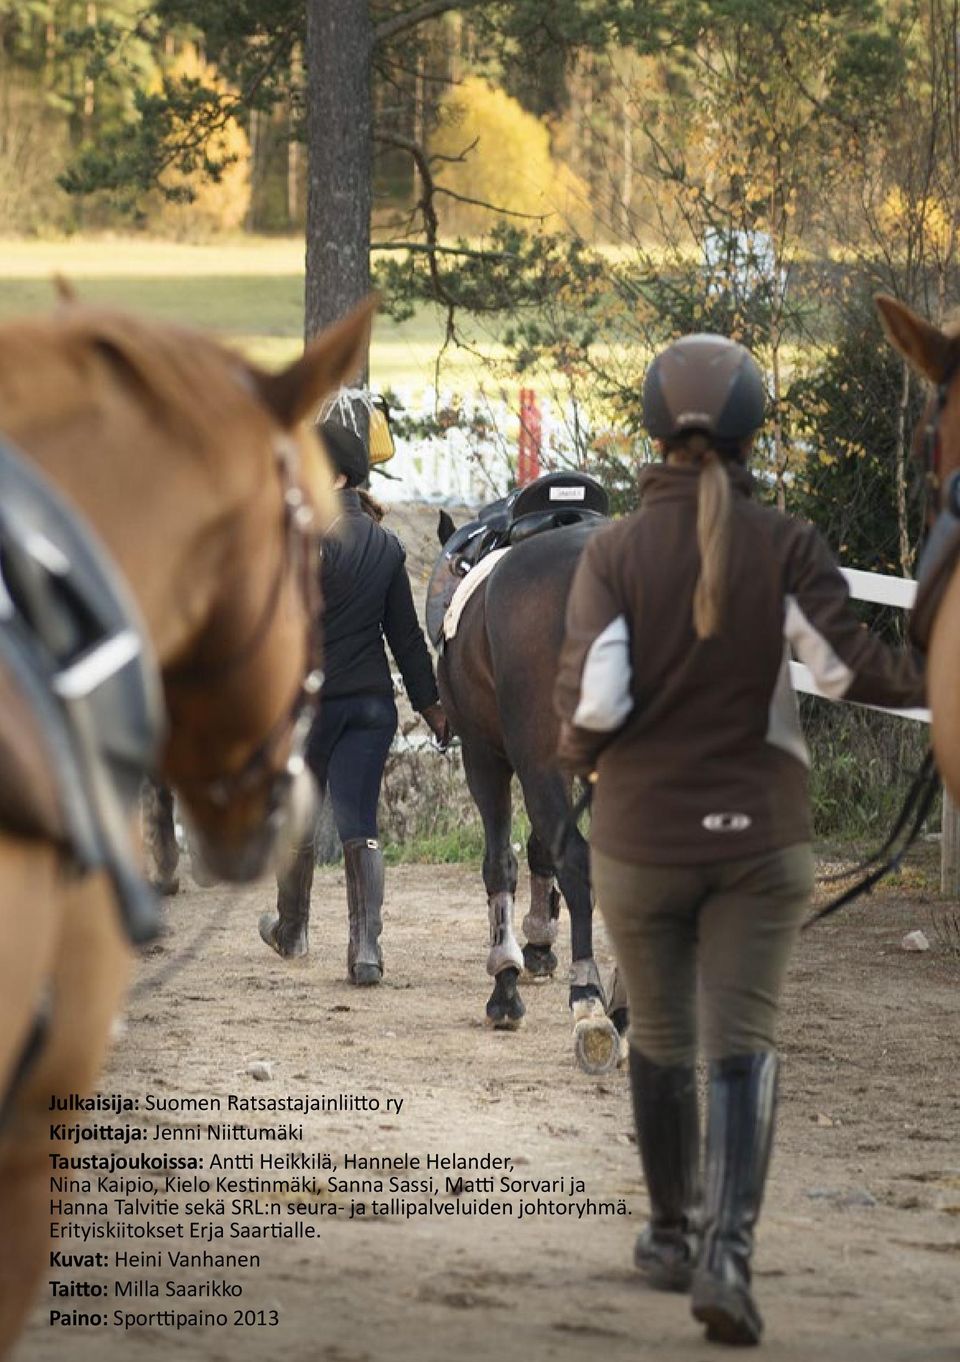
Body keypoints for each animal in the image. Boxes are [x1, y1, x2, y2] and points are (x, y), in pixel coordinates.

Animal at [430, 484, 626, 1067]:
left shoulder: (489, 757)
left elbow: (502, 863)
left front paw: (507, 980)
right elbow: (541, 850)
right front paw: (538, 946)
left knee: (579, 862)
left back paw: (589, 1000)